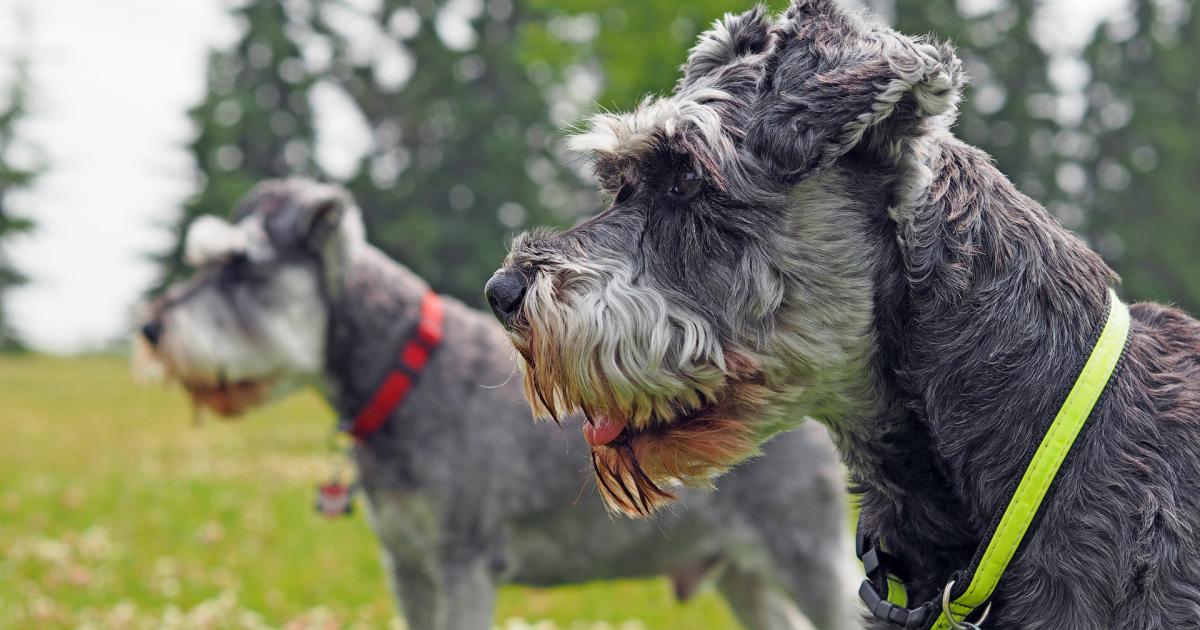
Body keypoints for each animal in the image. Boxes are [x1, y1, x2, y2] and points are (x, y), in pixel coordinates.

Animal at [136, 177, 859, 628]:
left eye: (241, 267)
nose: (150, 329)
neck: (400, 372)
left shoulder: (462, 565)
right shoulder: (411, 569)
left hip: (807, 556)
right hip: (741, 575)